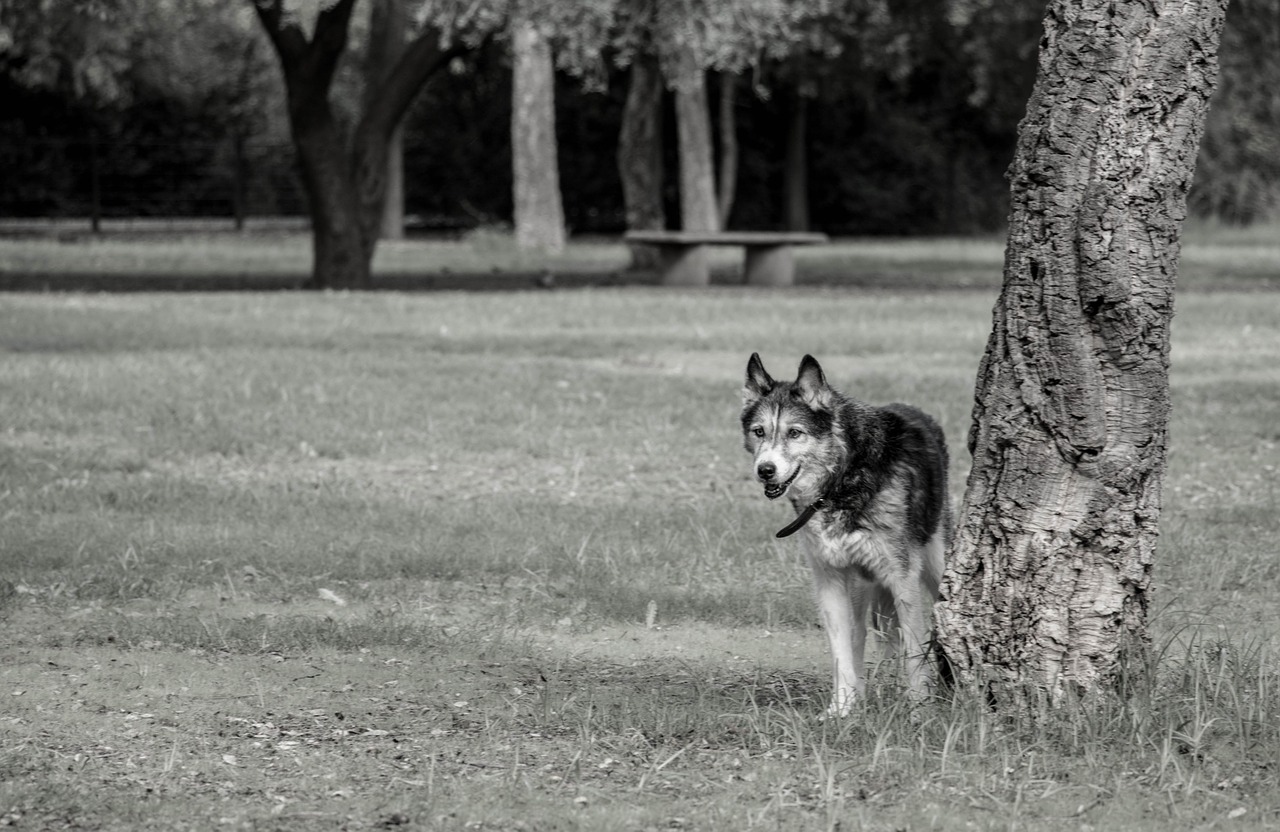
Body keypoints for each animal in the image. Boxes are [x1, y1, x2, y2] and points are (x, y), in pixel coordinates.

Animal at [742, 350, 952, 711]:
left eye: (795, 433)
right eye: (759, 431)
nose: (765, 470)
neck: (843, 478)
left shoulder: (902, 577)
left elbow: (914, 650)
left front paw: (918, 709)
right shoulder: (830, 579)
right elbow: (842, 651)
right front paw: (841, 708)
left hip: (934, 566)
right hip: (861, 584)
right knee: (864, 637)